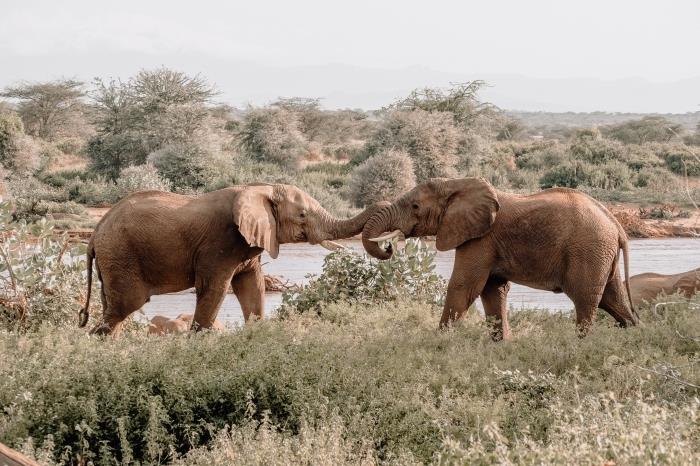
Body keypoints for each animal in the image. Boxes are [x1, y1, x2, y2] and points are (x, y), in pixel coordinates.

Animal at [80, 184, 388, 336]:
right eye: (302, 215)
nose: (387, 248)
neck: (260, 188)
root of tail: (94, 235)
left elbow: (253, 287)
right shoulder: (221, 244)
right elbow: (215, 290)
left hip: (113, 260)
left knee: (114, 310)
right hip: (121, 255)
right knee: (124, 308)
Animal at [360, 177, 640, 338]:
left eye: (415, 207)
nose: (389, 247)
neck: (457, 184)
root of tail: (617, 225)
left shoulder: (480, 238)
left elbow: (464, 287)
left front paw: (438, 343)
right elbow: (493, 290)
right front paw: (502, 345)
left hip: (588, 250)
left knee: (586, 299)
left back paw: (580, 344)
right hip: (601, 253)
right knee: (612, 299)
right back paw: (635, 336)